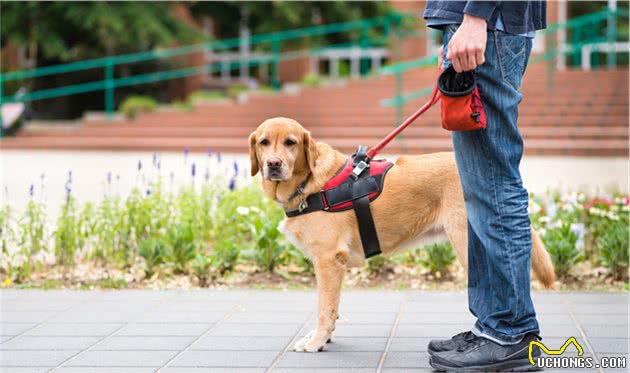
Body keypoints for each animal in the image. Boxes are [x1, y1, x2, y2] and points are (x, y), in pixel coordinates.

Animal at [249, 116, 556, 352]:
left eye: (290, 142)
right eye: (264, 142)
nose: (273, 164)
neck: (309, 184)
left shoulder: (328, 261)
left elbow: (324, 308)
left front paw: (316, 341)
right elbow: (332, 308)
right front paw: (324, 338)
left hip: (470, 246)